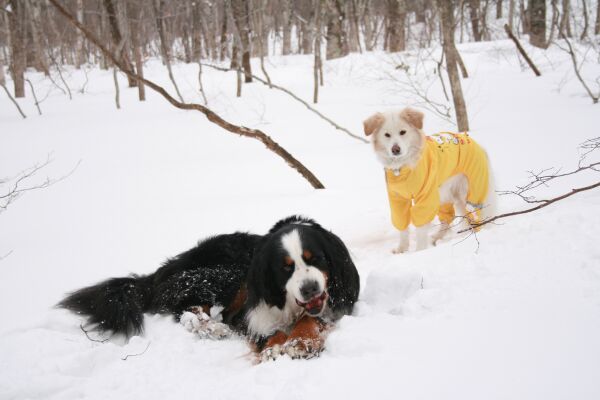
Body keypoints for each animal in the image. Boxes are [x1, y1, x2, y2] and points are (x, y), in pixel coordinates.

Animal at [59, 217, 360, 360]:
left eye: (315, 259)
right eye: (285, 268)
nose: (309, 289)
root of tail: (166, 267)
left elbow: (311, 320)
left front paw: (299, 342)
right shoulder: (253, 311)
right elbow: (265, 331)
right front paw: (274, 348)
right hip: (225, 273)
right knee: (188, 309)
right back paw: (211, 328)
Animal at [360, 108, 496, 252]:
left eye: (402, 132)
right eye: (387, 135)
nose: (395, 149)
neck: (403, 167)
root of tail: (477, 144)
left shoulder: (425, 197)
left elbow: (421, 226)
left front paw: (419, 250)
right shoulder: (398, 200)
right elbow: (402, 226)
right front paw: (402, 249)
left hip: (471, 193)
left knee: (478, 213)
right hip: (445, 194)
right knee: (452, 217)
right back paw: (437, 237)